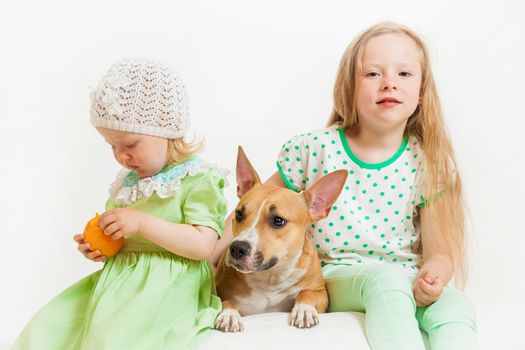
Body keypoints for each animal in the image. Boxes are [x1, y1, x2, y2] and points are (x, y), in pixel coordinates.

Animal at [213, 147, 348, 330]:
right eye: (239, 214)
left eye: (278, 220)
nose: (237, 248)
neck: (270, 277)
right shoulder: (219, 290)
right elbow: (225, 301)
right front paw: (229, 315)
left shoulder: (321, 293)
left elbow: (307, 293)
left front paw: (304, 309)